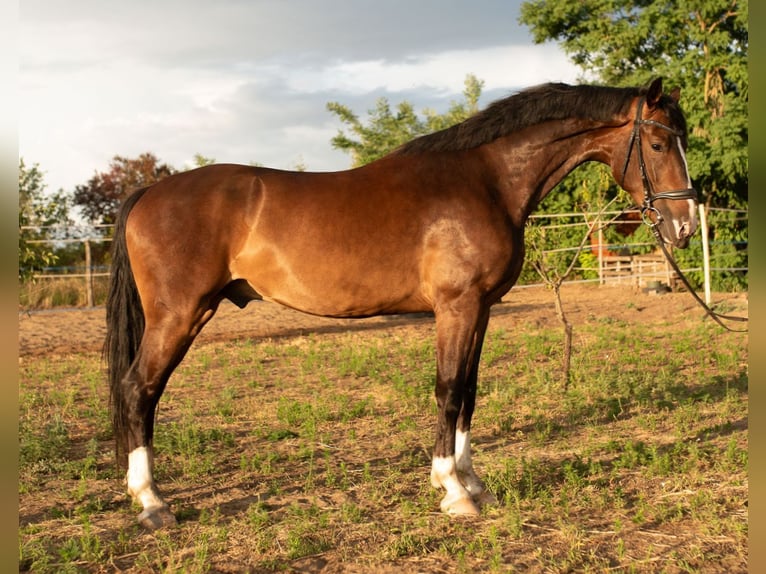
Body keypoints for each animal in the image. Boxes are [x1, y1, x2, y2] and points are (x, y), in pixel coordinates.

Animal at [106, 78, 698, 530]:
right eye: (659, 145)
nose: (687, 226)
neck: (487, 180)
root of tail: (149, 192)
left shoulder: (481, 309)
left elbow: (470, 393)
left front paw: (472, 481)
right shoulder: (456, 307)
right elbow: (448, 390)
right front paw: (452, 491)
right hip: (180, 316)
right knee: (139, 390)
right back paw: (153, 503)